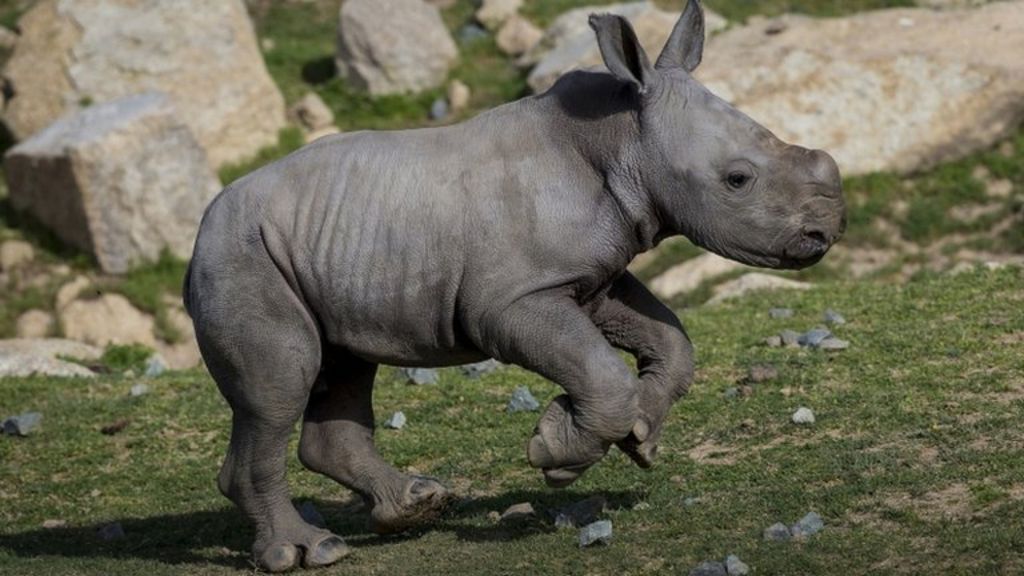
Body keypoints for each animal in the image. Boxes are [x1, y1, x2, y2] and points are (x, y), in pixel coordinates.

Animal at [186, 2, 847, 569]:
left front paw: (638, 439)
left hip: (317, 247)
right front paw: (557, 455)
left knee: (344, 366)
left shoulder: (594, 273)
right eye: (738, 180)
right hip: (242, 258)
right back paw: (308, 552)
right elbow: (598, 368)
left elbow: (670, 340)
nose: (827, 230)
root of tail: (202, 228)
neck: (621, 139)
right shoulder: (510, 300)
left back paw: (418, 505)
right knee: (280, 386)